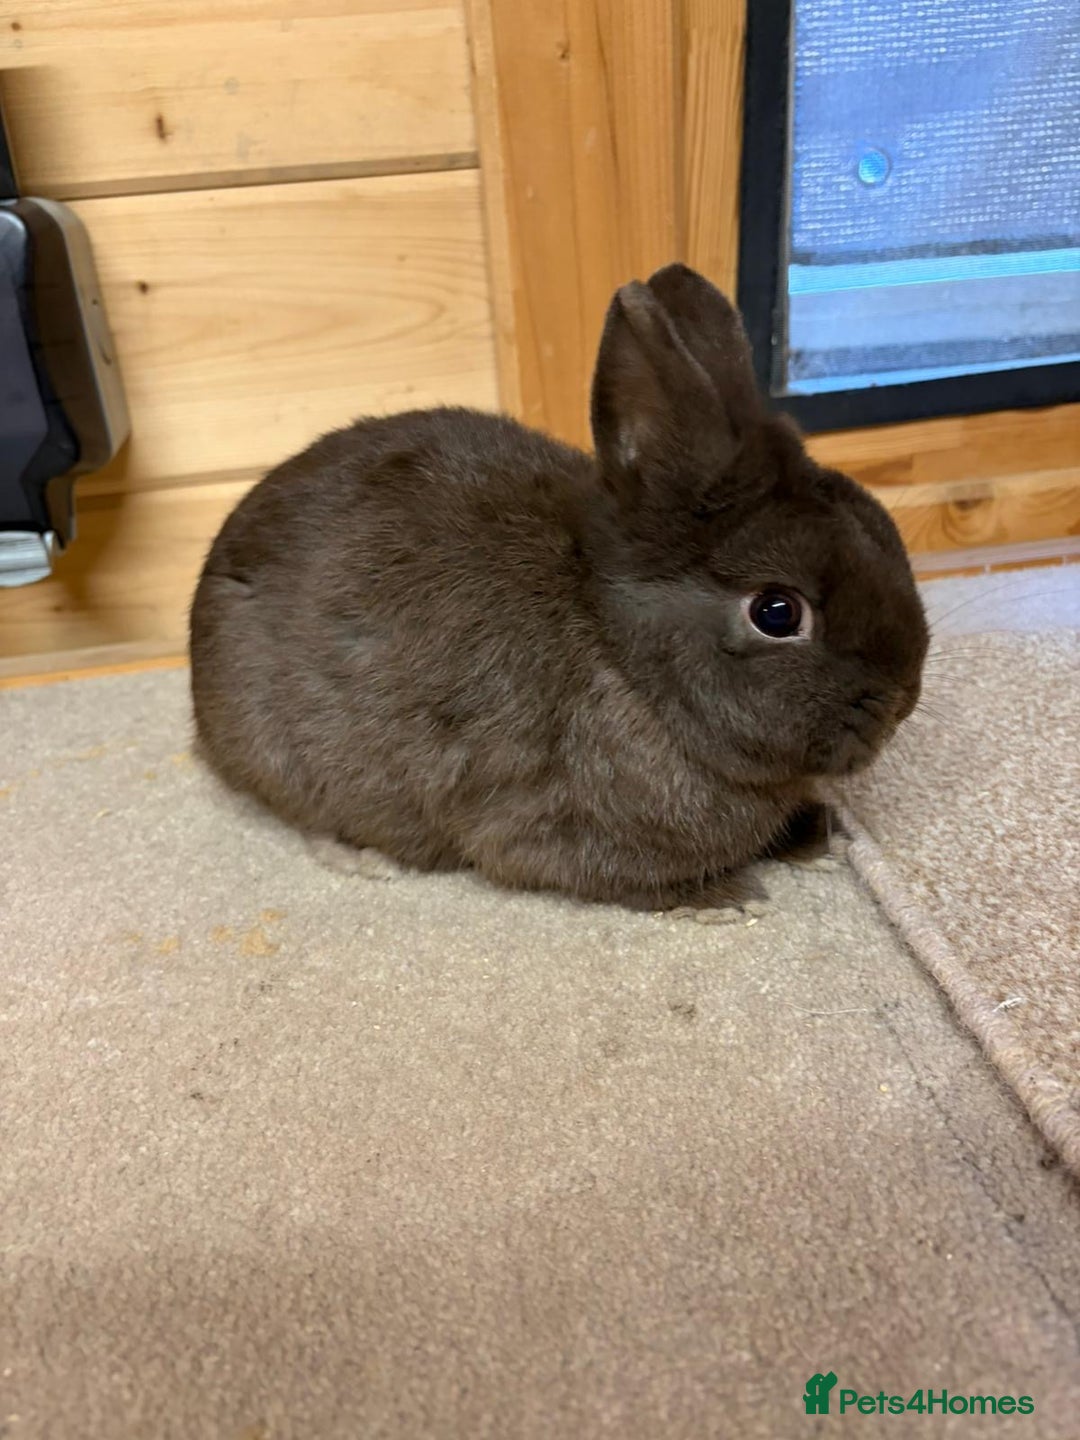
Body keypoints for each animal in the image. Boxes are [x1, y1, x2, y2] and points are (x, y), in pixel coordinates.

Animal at [189, 262, 928, 911]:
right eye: (777, 612)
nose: (901, 704)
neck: (625, 658)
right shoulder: (542, 826)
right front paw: (722, 898)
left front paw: (816, 840)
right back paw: (363, 857)